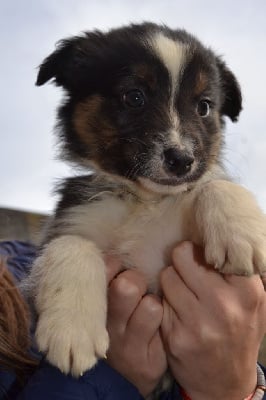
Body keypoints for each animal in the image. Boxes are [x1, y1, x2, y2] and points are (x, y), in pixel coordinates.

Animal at [28, 21, 266, 394]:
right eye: (134, 96)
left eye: (204, 107)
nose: (181, 160)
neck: (144, 200)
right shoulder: (71, 217)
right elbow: (71, 243)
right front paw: (73, 331)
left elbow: (213, 182)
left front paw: (241, 236)